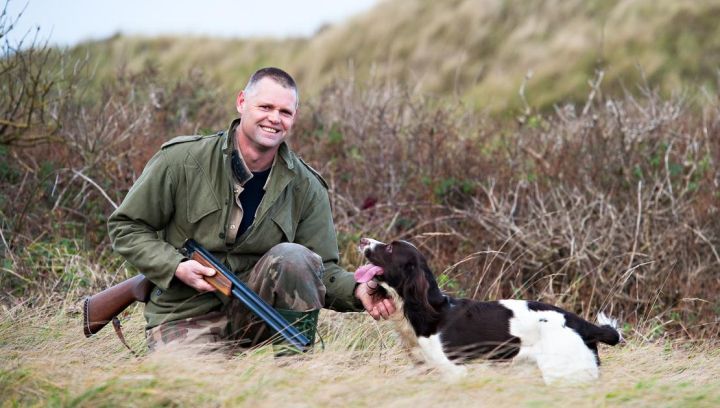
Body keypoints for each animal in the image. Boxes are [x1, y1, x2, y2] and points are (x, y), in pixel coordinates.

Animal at [358, 237, 620, 384]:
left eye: (390, 249)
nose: (362, 240)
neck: (431, 312)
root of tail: (583, 325)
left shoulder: (455, 371)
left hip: (563, 373)